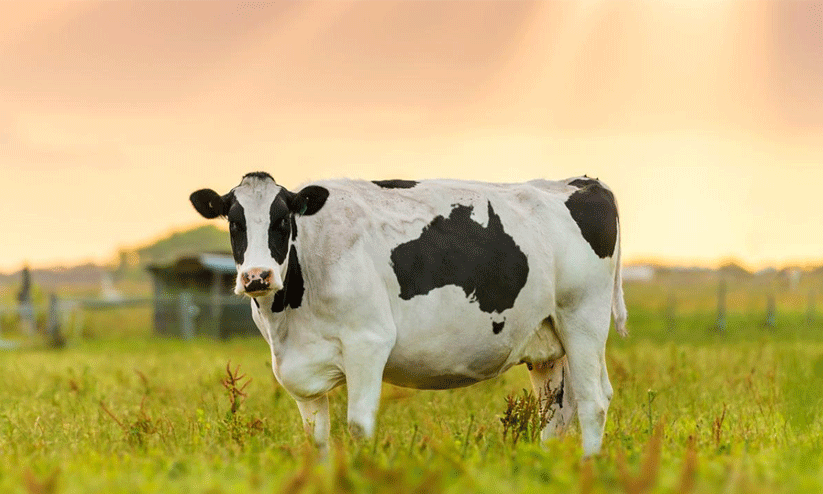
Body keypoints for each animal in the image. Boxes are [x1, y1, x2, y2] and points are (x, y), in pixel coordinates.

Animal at [190, 172, 627, 457]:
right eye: (234, 223)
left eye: (282, 220)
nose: (256, 276)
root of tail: (582, 181)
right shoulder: (301, 371)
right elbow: (317, 439)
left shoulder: (368, 342)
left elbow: (359, 426)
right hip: (547, 340)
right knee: (555, 410)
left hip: (582, 319)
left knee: (592, 401)